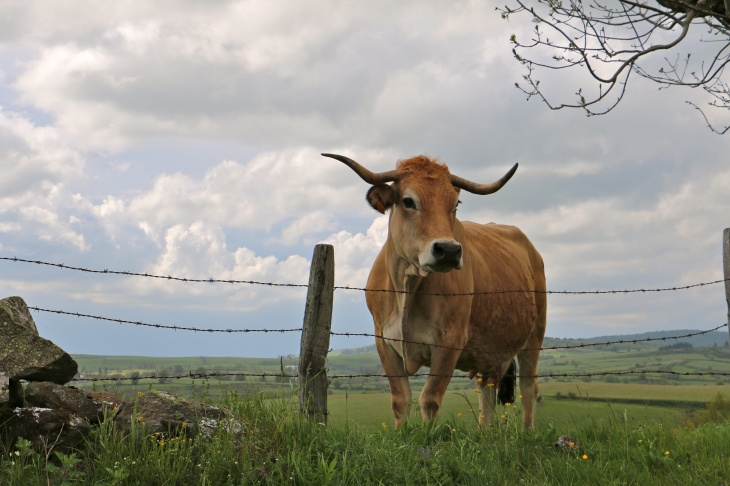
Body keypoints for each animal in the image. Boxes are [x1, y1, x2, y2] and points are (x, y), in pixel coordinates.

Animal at [322, 153, 544, 430]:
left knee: (528, 388)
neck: (407, 288)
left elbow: (429, 399)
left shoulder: (450, 342)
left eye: (455, 204)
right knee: (487, 392)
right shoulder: (384, 341)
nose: (448, 250)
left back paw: (527, 432)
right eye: (408, 201)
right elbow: (400, 400)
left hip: (534, 337)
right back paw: (486, 433)